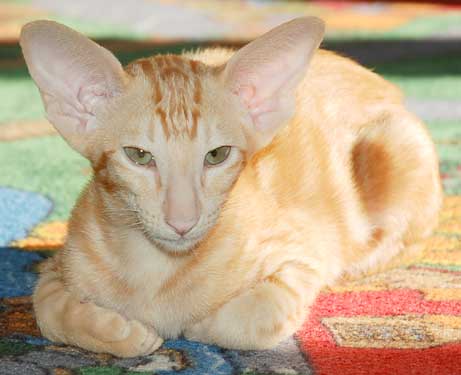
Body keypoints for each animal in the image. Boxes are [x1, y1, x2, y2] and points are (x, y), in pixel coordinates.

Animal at [19, 17, 440, 358]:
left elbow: (255, 317)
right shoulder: (55, 267)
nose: (183, 221)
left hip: (397, 144)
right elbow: (48, 313)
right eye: (138, 156)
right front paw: (124, 334)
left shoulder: (305, 257)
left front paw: (198, 327)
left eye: (217, 155)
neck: (157, 269)